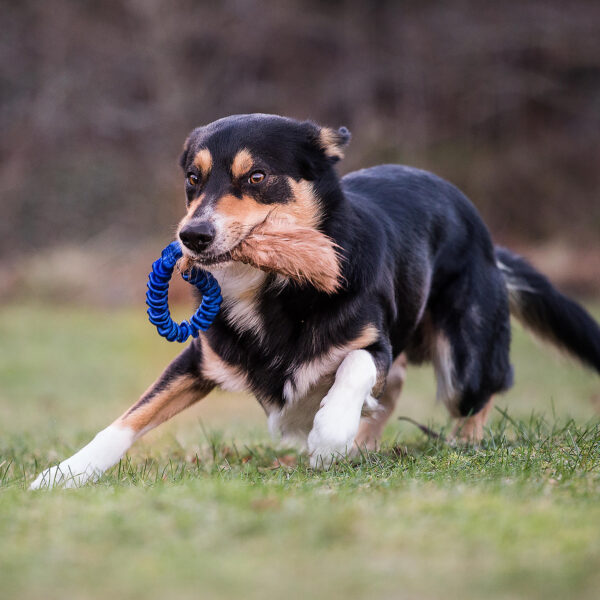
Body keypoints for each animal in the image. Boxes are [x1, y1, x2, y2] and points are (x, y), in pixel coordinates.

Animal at [29, 115, 600, 490]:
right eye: (193, 178)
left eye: (256, 176)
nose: (191, 236)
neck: (272, 289)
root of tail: (482, 230)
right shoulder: (196, 359)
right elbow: (129, 418)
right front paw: (64, 473)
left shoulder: (371, 341)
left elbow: (352, 367)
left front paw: (330, 434)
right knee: (396, 385)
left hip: (465, 359)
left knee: (478, 390)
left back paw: (458, 442)